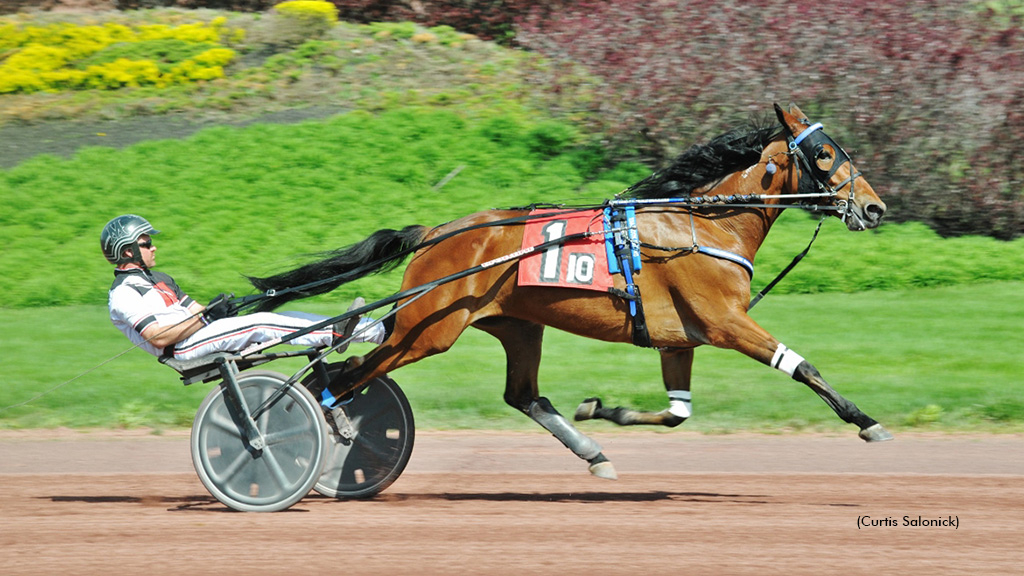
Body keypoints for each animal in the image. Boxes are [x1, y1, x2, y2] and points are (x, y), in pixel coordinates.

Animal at [245, 104, 888, 479]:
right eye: (825, 153)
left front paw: (606, 409)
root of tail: (435, 233)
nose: (874, 208)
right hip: (427, 329)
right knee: (344, 372)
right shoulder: (726, 323)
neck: (704, 224)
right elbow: (803, 367)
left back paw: (592, 452)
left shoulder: (679, 339)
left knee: (523, 395)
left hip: (515, 324)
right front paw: (866, 420)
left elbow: (677, 413)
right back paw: (308, 434)